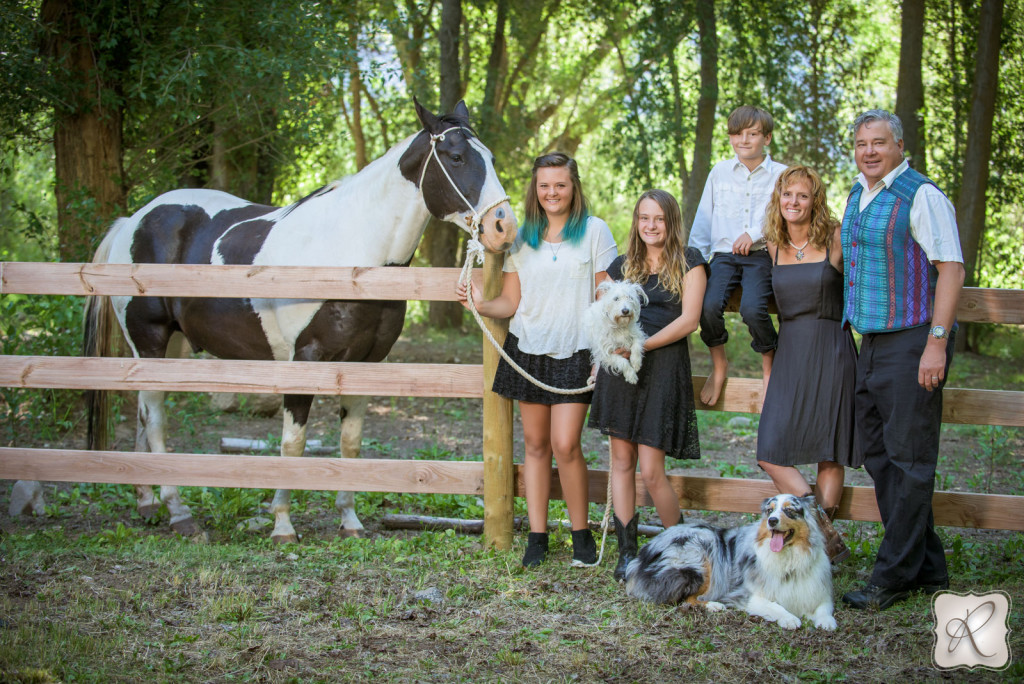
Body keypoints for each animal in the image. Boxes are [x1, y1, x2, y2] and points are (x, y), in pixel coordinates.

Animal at [18, 98, 520, 540]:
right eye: (456, 156)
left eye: (492, 158)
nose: (504, 226)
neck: (351, 256)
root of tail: (134, 220)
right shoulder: (304, 362)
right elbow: (292, 446)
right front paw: (282, 524)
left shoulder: (365, 364)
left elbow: (351, 443)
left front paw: (350, 521)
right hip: (150, 340)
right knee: (155, 419)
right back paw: (179, 513)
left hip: (169, 347)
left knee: (143, 417)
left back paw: (147, 504)